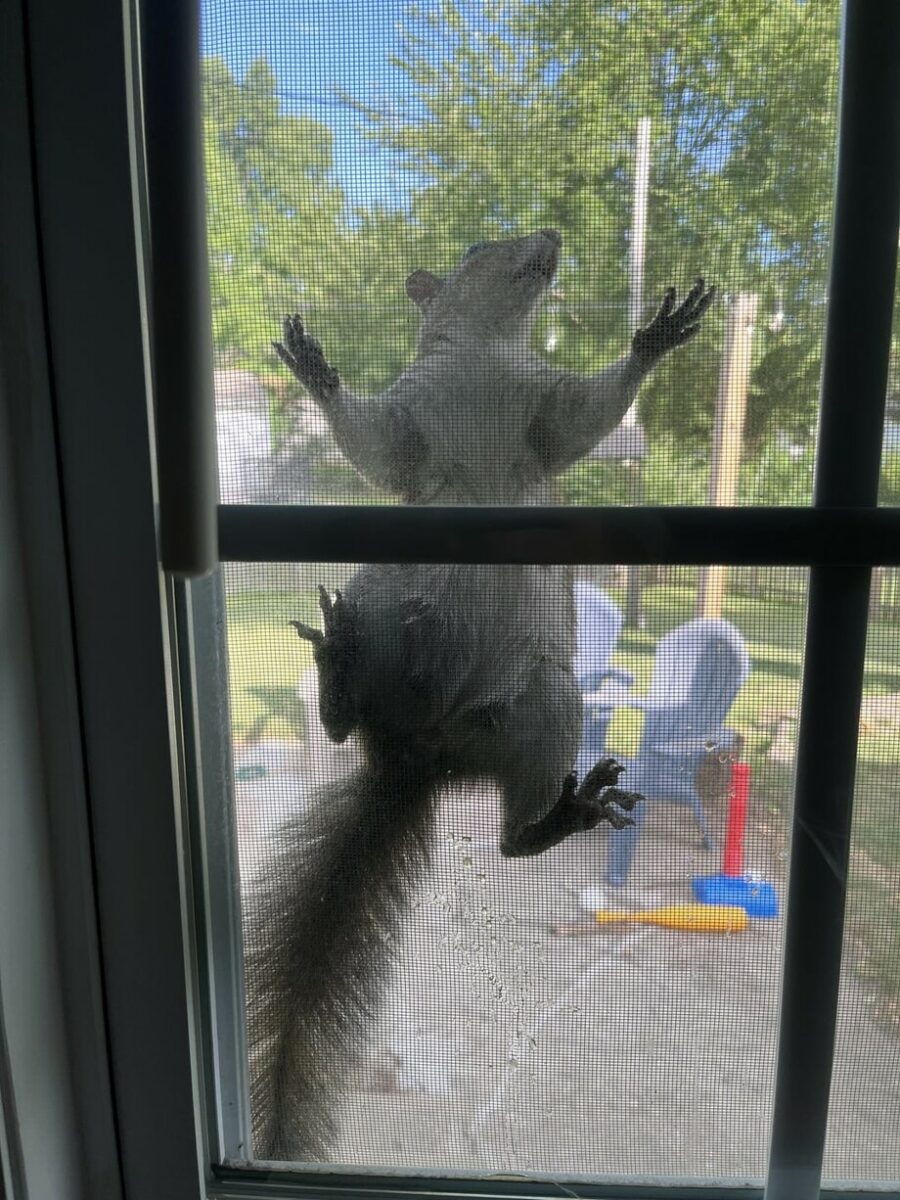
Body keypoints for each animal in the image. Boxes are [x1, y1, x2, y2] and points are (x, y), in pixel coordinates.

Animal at [245, 229, 714, 1160]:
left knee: (511, 839)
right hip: (383, 605)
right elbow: (374, 442)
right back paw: (340, 672)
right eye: (482, 248)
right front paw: (317, 373)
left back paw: (558, 817)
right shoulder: (411, 418)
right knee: (351, 723)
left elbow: (589, 412)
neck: (489, 356)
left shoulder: (545, 411)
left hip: (545, 704)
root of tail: (418, 759)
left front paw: (654, 338)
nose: (549, 240)